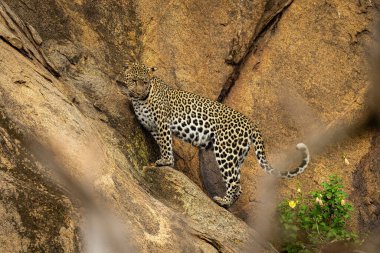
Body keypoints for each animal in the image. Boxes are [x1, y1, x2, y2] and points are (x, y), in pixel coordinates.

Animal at [117, 62, 310, 208]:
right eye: (134, 80)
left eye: (145, 82)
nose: (139, 91)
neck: (141, 100)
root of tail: (251, 124)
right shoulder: (153, 127)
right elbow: (163, 142)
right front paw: (167, 160)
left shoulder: (162, 124)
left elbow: (166, 143)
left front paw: (165, 161)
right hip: (237, 156)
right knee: (238, 184)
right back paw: (228, 204)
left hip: (225, 150)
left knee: (234, 183)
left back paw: (223, 201)